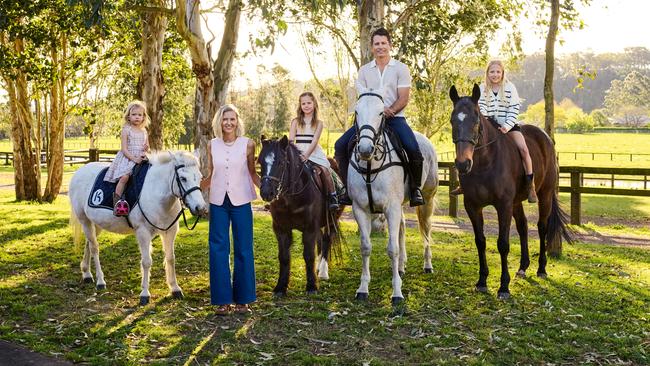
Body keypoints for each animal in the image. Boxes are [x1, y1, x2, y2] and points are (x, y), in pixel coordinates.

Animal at [68, 150, 206, 304]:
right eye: (182, 178)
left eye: (200, 177)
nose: (200, 208)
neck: (157, 194)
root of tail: (79, 172)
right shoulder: (143, 232)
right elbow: (146, 262)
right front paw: (145, 293)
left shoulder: (170, 231)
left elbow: (171, 258)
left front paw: (175, 288)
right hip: (84, 220)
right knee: (94, 248)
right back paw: (100, 281)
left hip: (96, 224)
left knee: (89, 244)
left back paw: (86, 274)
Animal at [256, 136, 344, 296]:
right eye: (260, 162)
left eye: (281, 162)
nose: (266, 193)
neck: (291, 197)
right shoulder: (281, 229)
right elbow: (284, 257)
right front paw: (280, 287)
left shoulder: (310, 228)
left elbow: (308, 255)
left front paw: (312, 286)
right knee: (321, 240)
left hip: (333, 219)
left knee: (327, 240)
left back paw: (323, 271)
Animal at [346, 88, 438, 306]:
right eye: (357, 112)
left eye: (381, 113)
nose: (365, 150)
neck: (370, 166)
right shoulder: (360, 209)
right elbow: (366, 247)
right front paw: (363, 289)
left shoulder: (392, 208)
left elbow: (392, 249)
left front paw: (397, 293)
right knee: (403, 227)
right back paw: (402, 266)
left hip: (427, 199)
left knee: (426, 229)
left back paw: (427, 265)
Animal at [448, 84, 568, 298]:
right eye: (453, 120)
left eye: (476, 120)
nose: (462, 164)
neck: (485, 163)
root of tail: (546, 138)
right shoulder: (473, 206)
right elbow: (480, 241)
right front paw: (482, 281)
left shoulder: (503, 205)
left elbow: (503, 244)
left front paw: (504, 286)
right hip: (516, 202)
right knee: (523, 226)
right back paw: (523, 267)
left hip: (544, 195)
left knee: (542, 227)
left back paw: (541, 269)